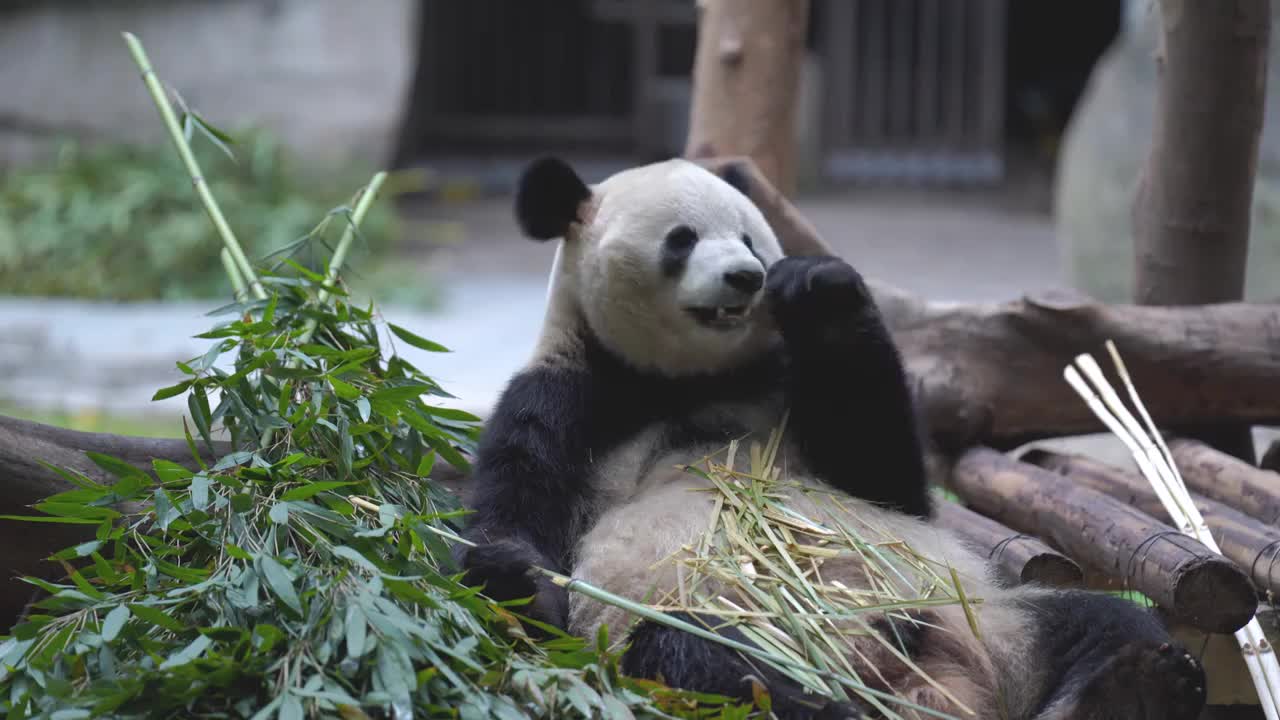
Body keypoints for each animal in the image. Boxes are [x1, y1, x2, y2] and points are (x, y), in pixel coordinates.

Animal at [460, 156, 1208, 717]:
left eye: (751, 238)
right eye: (682, 239)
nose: (747, 277)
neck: (684, 380)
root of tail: (940, 693)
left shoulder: (783, 384)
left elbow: (886, 478)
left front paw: (819, 287)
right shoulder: (572, 395)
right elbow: (518, 505)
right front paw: (516, 576)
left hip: (990, 617)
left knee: (1100, 623)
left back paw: (1131, 687)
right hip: (707, 623)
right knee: (711, 664)